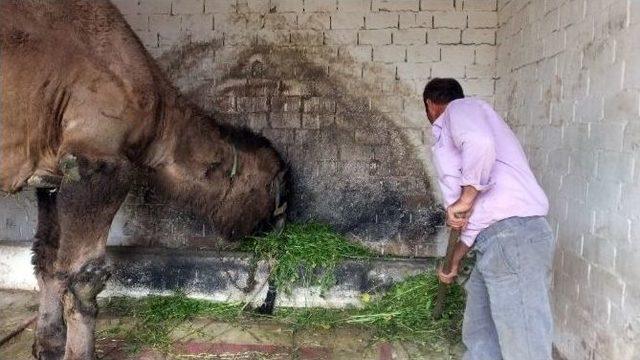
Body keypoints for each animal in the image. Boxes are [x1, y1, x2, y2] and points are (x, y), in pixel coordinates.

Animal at [0, 1, 290, 358]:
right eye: (275, 192)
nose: (278, 228)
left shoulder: (53, 174)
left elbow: (48, 258)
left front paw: (49, 345)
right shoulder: (95, 163)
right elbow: (84, 277)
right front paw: (79, 352)